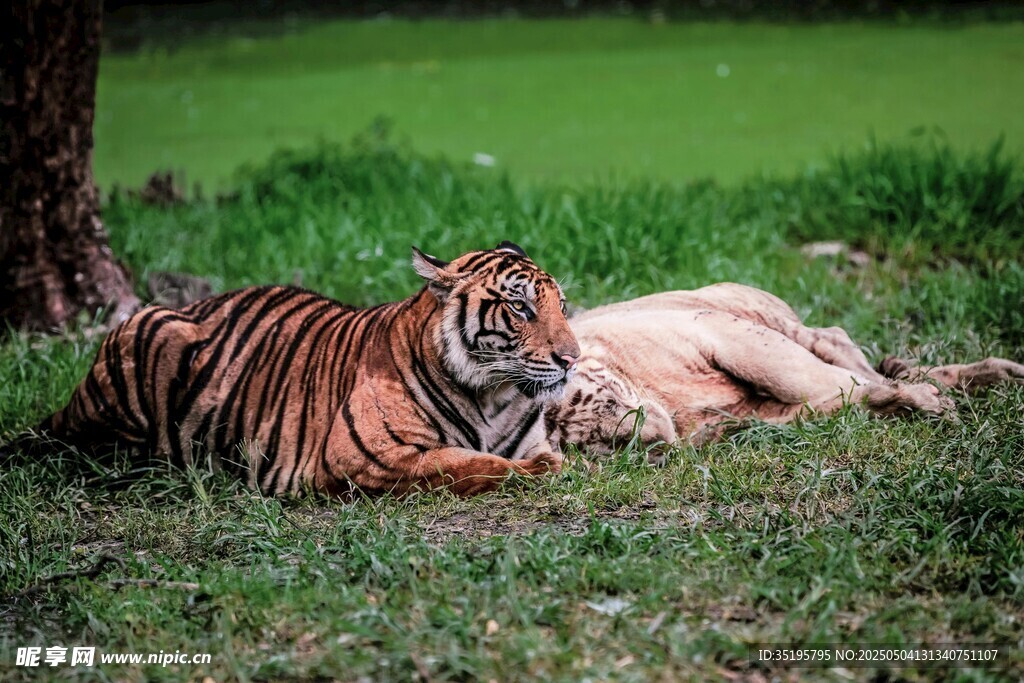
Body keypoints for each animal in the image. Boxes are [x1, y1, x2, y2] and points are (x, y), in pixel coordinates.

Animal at [15, 242, 581, 497]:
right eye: (521, 308)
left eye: (561, 305)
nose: (572, 359)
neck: (493, 394)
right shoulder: (368, 455)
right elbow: (472, 465)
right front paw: (549, 471)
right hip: (149, 334)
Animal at [547, 283, 1024, 459]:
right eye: (601, 444)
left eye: (612, 402)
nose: (656, 444)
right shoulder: (752, 414)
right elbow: (836, 399)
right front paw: (907, 400)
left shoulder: (722, 333)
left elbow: (814, 379)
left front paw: (928, 402)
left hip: (752, 312)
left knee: (832, 339)